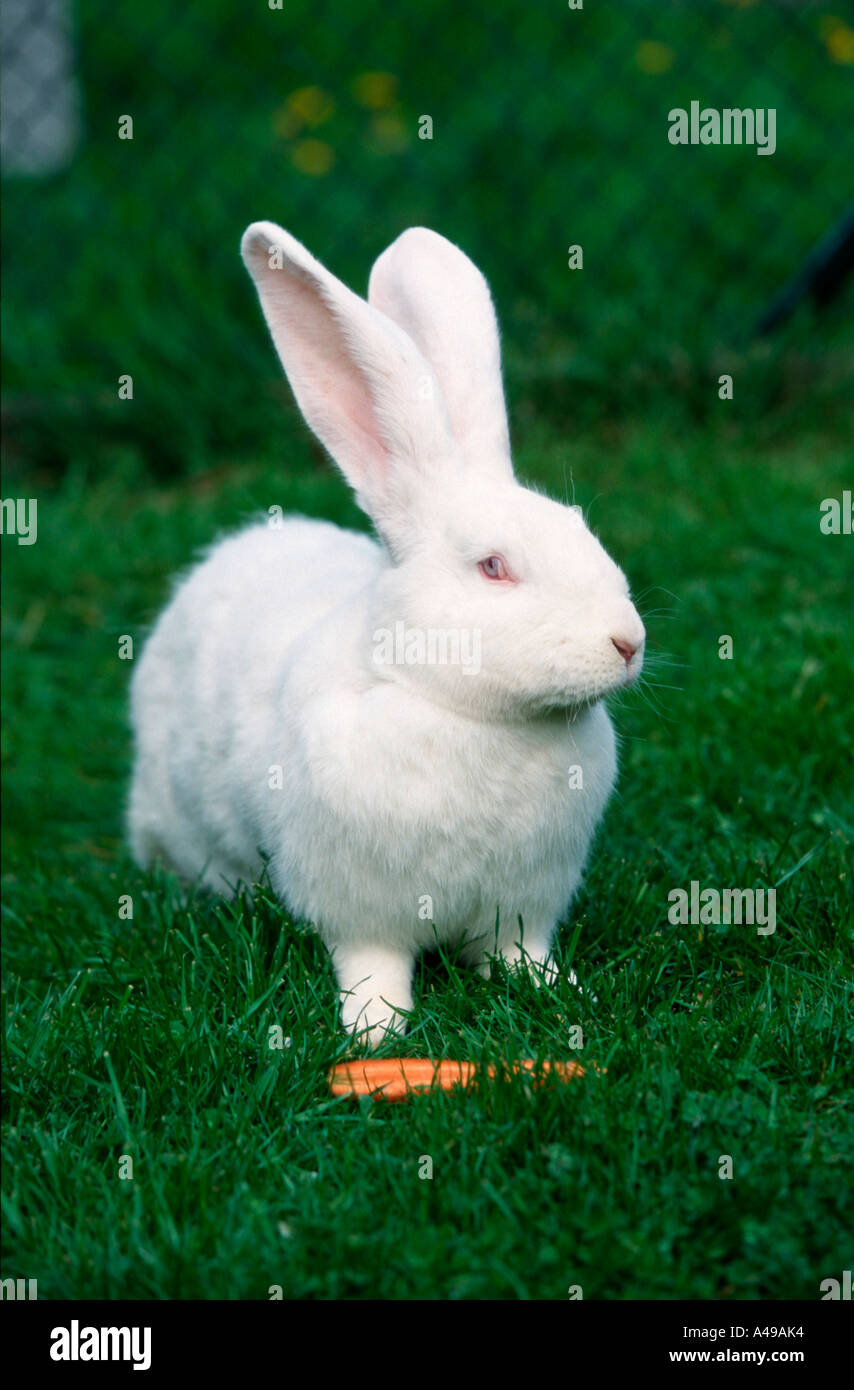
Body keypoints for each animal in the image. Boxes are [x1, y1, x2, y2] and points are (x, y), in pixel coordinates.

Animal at [128, 221, 645, 1047]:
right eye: (493, 567)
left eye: (582, 530)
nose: (627, 643)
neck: (471, 714)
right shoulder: (357, 911)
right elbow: (372, 965)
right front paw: (375, 1032)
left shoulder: (525, 904)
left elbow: (521, 954)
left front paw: (566, 996)